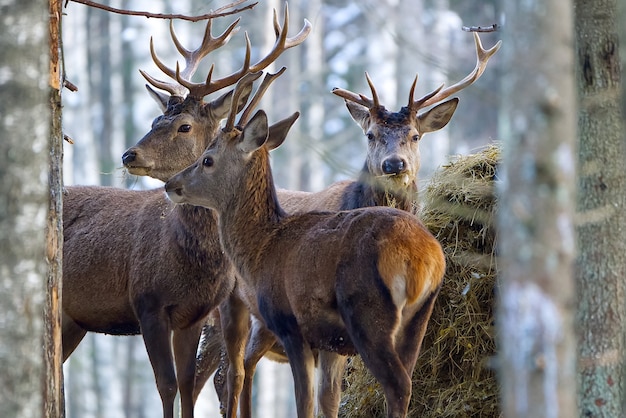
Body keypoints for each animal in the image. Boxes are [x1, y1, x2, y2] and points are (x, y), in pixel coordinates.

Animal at [62, 6, 310, 418]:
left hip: (73, 320)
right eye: (153, 121)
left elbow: (187, 385)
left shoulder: (193, 314)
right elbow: (166, 385)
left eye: (184, 126)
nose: (128, 155)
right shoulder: (147, 302)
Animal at [163, 71, 446, 418]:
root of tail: (422, 258)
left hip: (368, 313)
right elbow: (328, 401)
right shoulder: (333, 344)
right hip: (418, 316)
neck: (263, 247)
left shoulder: (292, 326)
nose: (171, 184)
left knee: (397, 385)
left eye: (207, 160)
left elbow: (304, 403)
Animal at [193, 31, 500, 416]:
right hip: (235, 309)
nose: (394, 164)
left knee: (237, 369)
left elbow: (325, 399)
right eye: (370, 134)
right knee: (228, 373)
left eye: (415, 135)